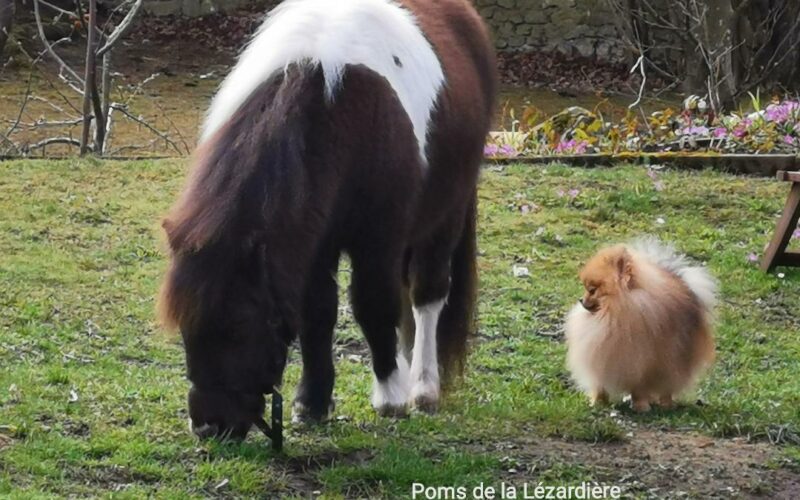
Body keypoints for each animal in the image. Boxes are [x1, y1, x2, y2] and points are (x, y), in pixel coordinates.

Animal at [159, 0, 496, 440]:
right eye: (185, 328)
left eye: (239, 327)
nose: (208, 426)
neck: (332, 105)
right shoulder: (313, 242)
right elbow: (317, 312)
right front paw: (312, 403)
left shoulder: (378, 240)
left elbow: (373, 303)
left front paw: (389, 397)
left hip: (445, 216)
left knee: (427, 293)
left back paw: (422, 387)